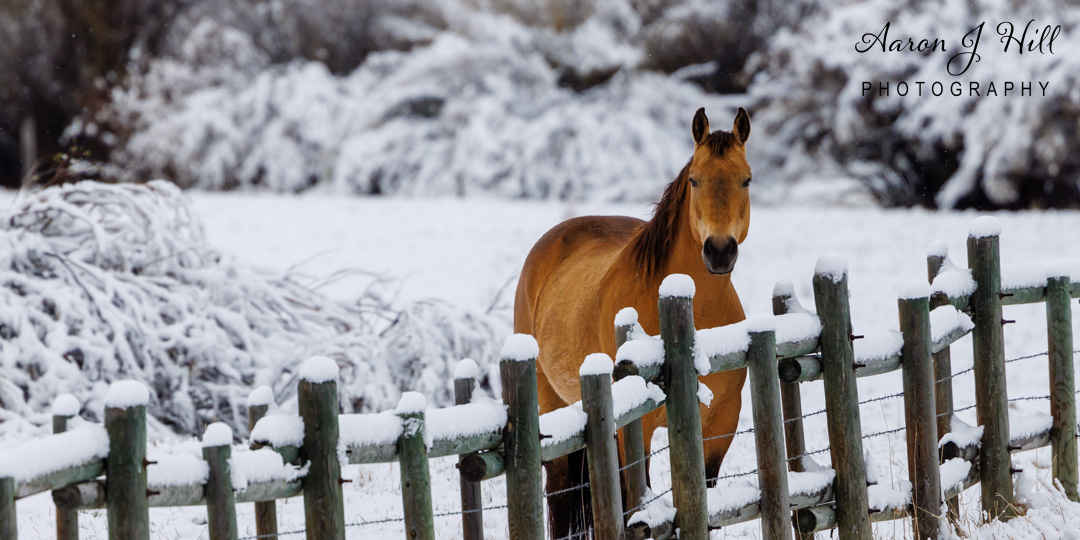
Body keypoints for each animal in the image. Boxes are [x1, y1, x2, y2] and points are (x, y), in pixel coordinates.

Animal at [511, 106, 751, 535]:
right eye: (695, 179)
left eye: (746, 179)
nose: (720, 251)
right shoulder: (634, 427)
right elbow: (631, 505)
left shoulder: (722, 423)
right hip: (550, 407)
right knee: (561, 495)